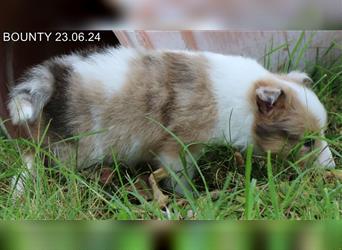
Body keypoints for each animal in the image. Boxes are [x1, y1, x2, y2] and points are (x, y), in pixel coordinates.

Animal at [8, 47, 336, 194]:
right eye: (307, 143)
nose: (331, 168)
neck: (242, 94)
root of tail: (54, 82)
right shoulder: (175, 147)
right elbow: (180, 174)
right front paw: (192, 197)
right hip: (68, 148)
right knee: (30, 159)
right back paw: (23, 190)